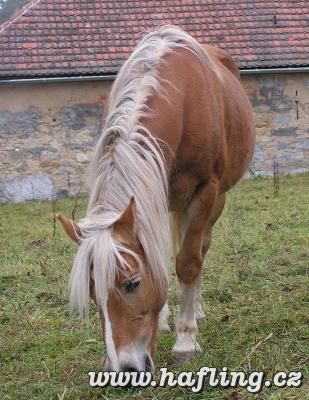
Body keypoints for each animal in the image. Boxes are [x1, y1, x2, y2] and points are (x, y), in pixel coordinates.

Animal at [56, 26, 254, 374]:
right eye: (93, 293)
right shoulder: (151, 198)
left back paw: (195, 309)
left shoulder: (205, 189)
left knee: (199, 248)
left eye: (132, 284)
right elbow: (158, 257)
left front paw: (186, 340)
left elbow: (188, 262)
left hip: (214, 201)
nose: (125, 369)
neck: (184, 99)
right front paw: (164, 319)